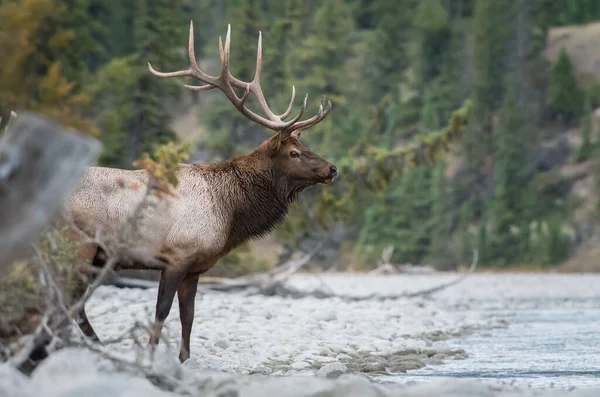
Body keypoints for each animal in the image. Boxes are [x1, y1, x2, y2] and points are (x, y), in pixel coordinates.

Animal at [67, 22, 338, 362]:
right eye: (294, 153)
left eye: (305, 146)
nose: (332, 168)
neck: (230, 211)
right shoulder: (175, 257)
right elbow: (161, 312)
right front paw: (151, 356)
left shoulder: (196, 268)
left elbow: (189, 316)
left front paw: (183, 359)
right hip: (82, 247)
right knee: (69, 304)